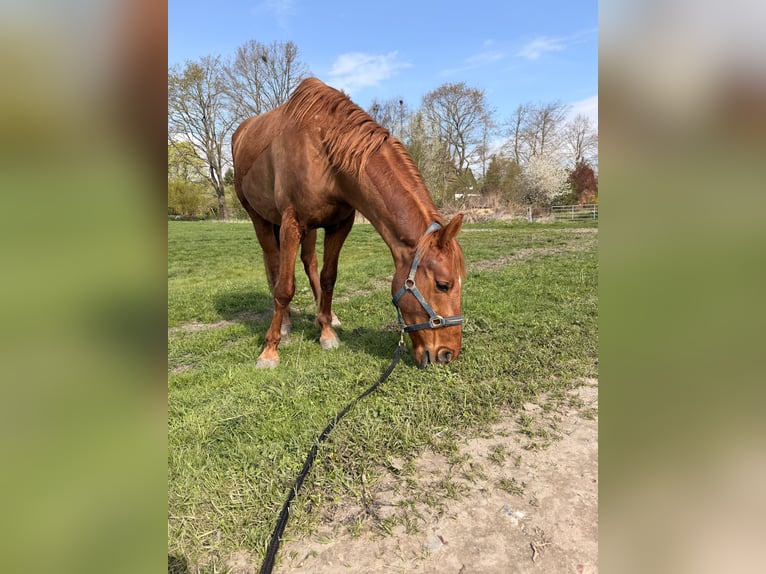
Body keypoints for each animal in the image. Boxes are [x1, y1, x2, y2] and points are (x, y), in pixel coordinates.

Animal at [232, 77, 465, 369]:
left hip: (306, 231)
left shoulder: (340, 224)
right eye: (443, 285)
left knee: (309, 263)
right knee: (274, 266)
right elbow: (284, 288)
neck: (323, 153)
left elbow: (328, 278)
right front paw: (269, 350)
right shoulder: (291, 224)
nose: (448, 353)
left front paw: (327, 331)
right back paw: (284, 325)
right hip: (260, 219)